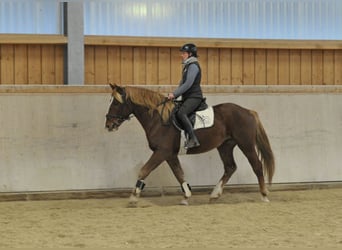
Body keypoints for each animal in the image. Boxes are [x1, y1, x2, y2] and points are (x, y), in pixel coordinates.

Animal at [105, 84, 276, 205]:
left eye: (116, 103)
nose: (108, 125)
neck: (159, 120)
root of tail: (248, 111)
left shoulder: (161, 152)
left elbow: (144, 171)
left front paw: (133, 197)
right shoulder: (170, 154)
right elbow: (179, 174)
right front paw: (186, 196)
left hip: (246, 144)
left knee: (257, 166)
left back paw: (264, 195)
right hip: (225, 146)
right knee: (230, 167)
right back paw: (215, 195)